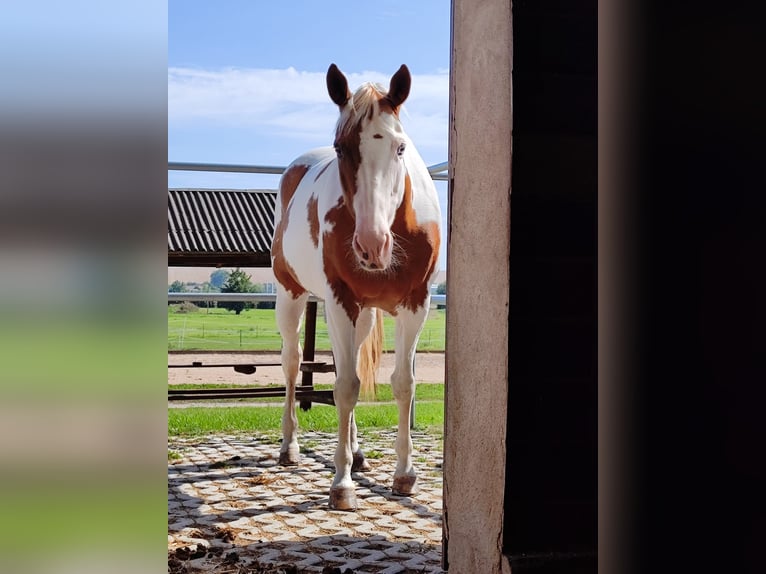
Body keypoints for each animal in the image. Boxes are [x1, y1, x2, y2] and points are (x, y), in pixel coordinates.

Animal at [270, 63, 441, 511]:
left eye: (400, 148)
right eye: (341, 148)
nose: (371, 244)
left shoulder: (416, 305)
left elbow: (402, 384)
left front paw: (405, 474)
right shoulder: (339, 300)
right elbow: (345, 388)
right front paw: (342, 483)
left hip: (362, 315)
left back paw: (358, 451)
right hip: (291, 297)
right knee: (292, 363)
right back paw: (290, 447)